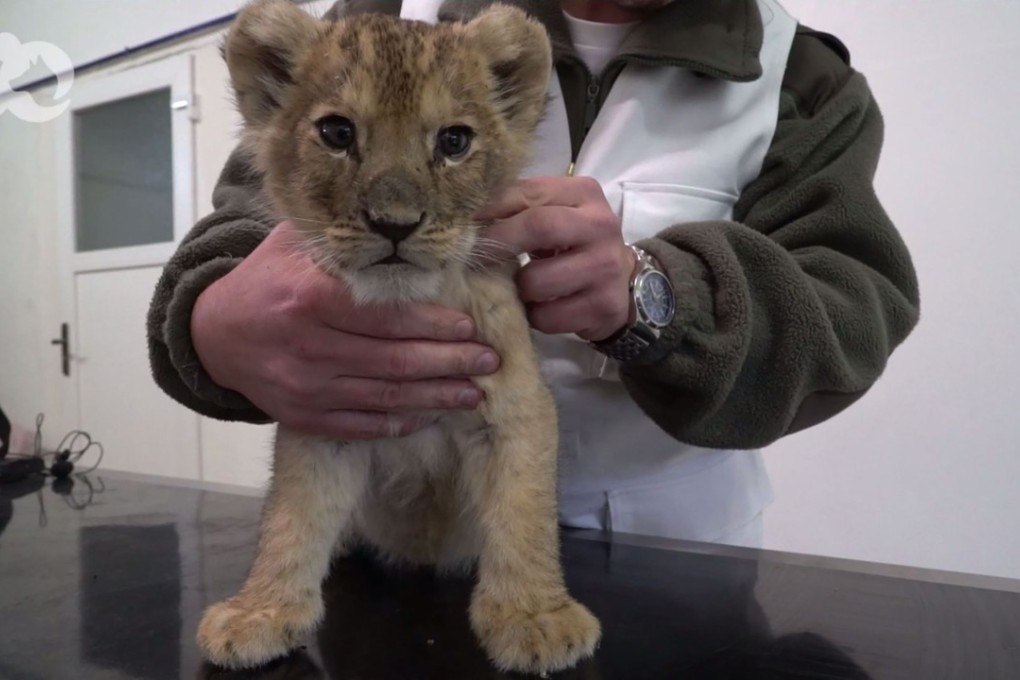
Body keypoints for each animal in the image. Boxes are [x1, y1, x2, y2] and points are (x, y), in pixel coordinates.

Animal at [195, 0, 601, 674]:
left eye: (454, 141)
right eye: (337, 133)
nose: (394, 225)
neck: (407, 304)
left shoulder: (513, 407)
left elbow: (522, 513)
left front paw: (535, 618)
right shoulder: (327, 415)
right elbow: (292, 517)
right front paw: (262, 611)